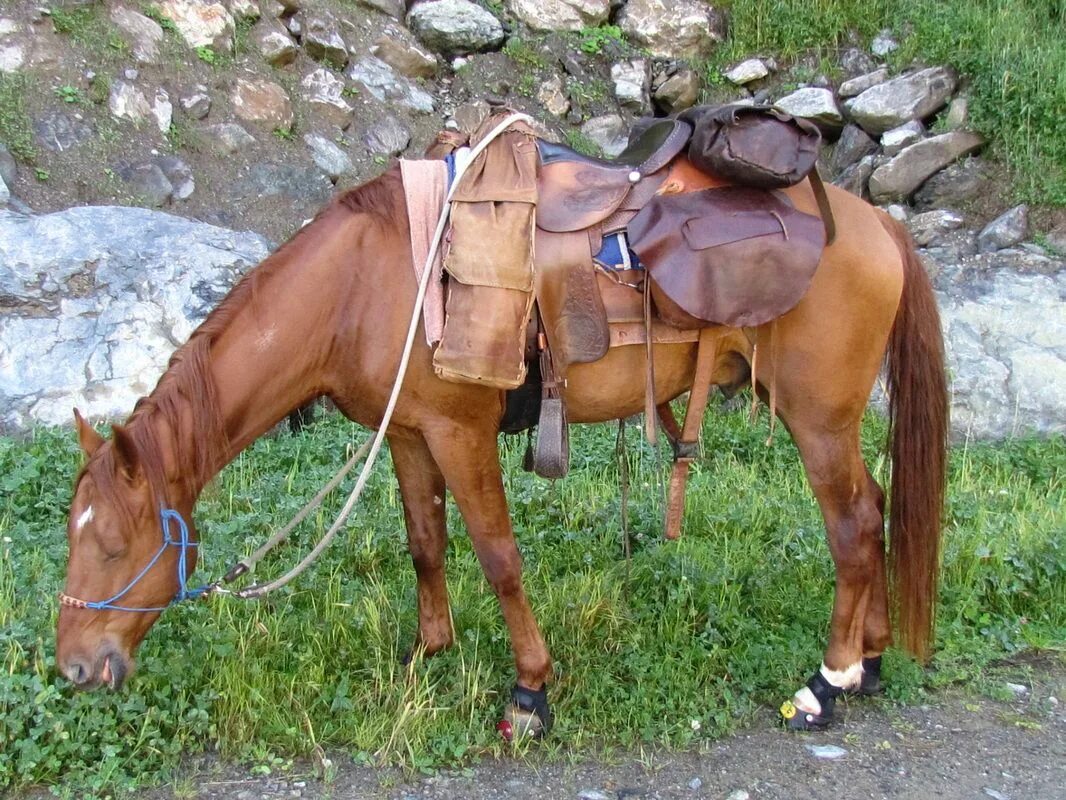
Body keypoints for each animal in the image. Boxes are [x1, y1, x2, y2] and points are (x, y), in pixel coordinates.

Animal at [54, 151, 946, 738]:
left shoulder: (460, 431)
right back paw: (869, 660)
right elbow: (425, 543)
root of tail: (876, 222)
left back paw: (828, 681)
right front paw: (428, 654)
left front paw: (531, 693)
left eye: (111, 543)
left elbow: (498, 557)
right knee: (874, 506)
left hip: (816, 417)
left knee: (852, 526)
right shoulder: (410, 434)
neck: (360, 288)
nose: (72, 668)